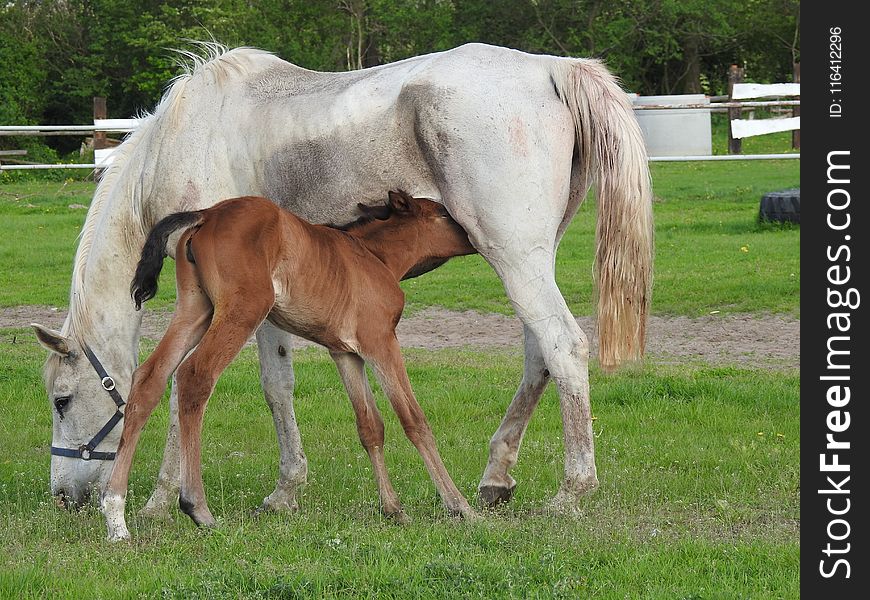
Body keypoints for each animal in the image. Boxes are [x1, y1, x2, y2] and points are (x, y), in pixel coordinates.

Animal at [105, 191, 480, 540]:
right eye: (443, 214)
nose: (472, 237)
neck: (375, 257)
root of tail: (208, 213)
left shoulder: (345, 353)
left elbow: (370, 426)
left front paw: (392, 508)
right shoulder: (381, 343)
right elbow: (414, 421)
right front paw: (460, 506)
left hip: (195, 309)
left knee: (149, 378)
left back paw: (115, 513)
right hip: (244, 309)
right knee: (194, 376)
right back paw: (197, 508)